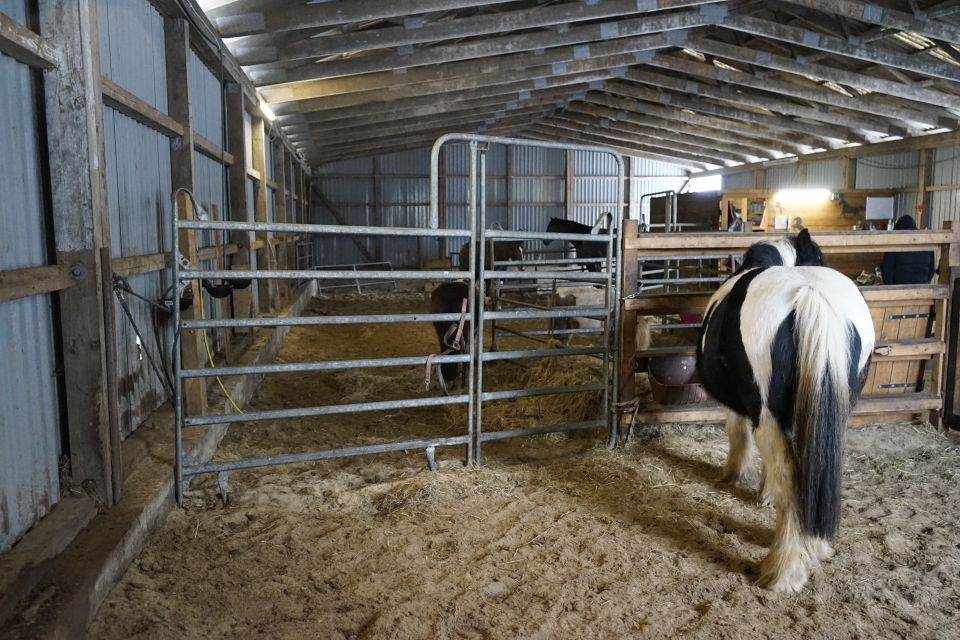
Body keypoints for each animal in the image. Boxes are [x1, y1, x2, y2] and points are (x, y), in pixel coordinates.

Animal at [696, 229, 876, 592]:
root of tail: (811, 295)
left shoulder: (745, 409)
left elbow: (739, 437)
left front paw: (736, 477)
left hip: (767, 413)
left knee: (788, 474)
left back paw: (783, 570)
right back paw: (813, 545)